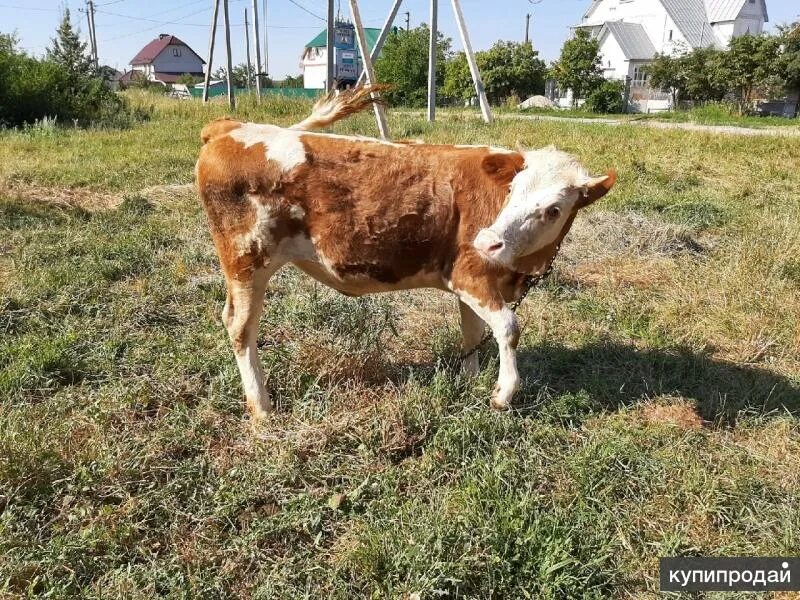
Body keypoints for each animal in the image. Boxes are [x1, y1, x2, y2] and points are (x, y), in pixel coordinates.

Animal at [197, 85, 616, 422]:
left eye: (554, 210)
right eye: (512, 190)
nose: (487, 242)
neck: (522, 265)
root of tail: (230, 128)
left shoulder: (468, 284)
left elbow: (473, 332)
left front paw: (470, 383)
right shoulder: (471, 273)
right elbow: (509, 328)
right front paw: (503, 394)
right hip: (247, 258)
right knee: (240, 326)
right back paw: (262, 407)